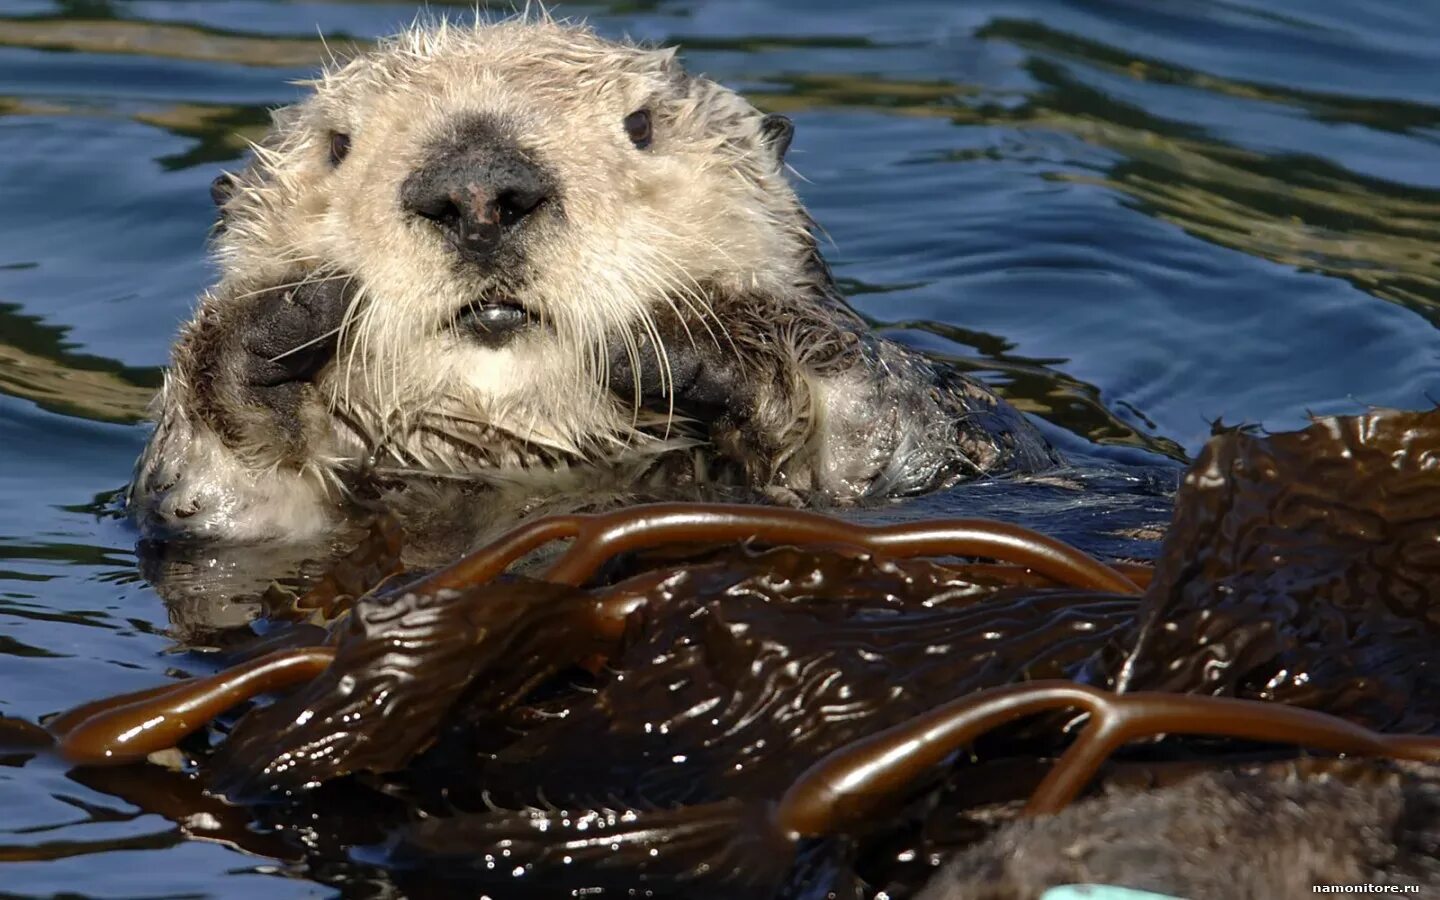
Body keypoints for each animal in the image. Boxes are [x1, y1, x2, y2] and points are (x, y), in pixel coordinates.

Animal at [132, 15, 1059, 541]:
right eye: (337, 145)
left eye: (641, 126)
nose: (479, 192)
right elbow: (214, 503)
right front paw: (264, 331)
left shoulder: (949, 446)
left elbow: (884, 430)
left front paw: (704, 341)